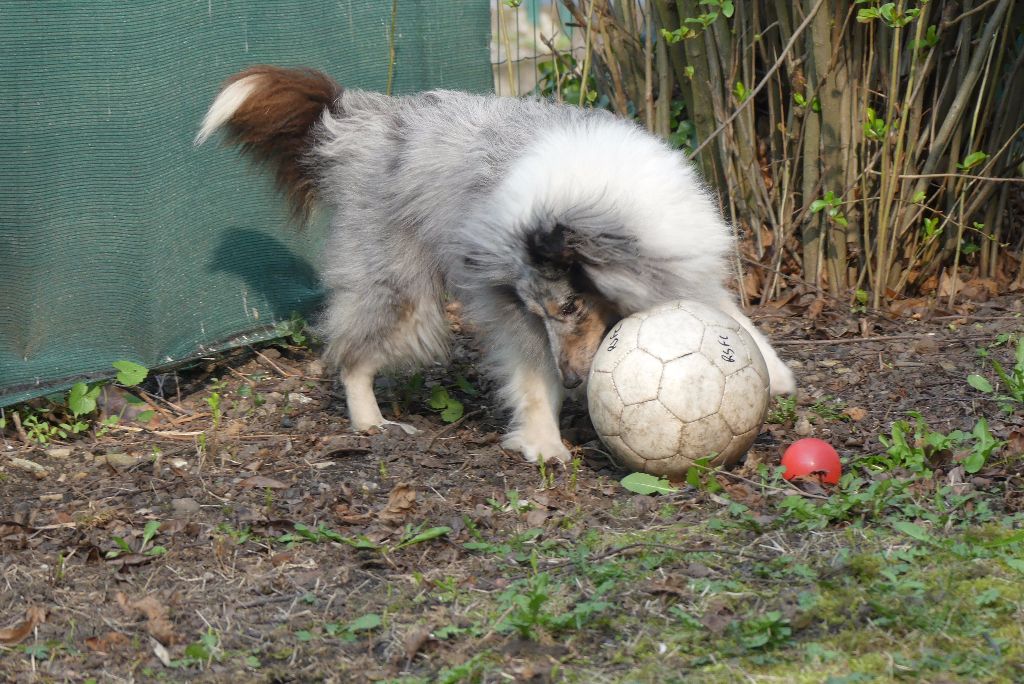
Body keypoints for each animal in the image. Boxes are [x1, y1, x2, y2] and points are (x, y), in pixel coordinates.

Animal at [195, 66, 794, 462]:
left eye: (572, 305)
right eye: (550, 311)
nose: (574, 379)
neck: (582, 194)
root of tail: (364, 122)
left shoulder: (682, 261)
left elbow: (730, 316)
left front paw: (775, 372)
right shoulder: (513, 311)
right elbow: (530, 376)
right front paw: (545, 444)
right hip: (401, 292)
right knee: (352, 356)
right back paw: (371, 423)